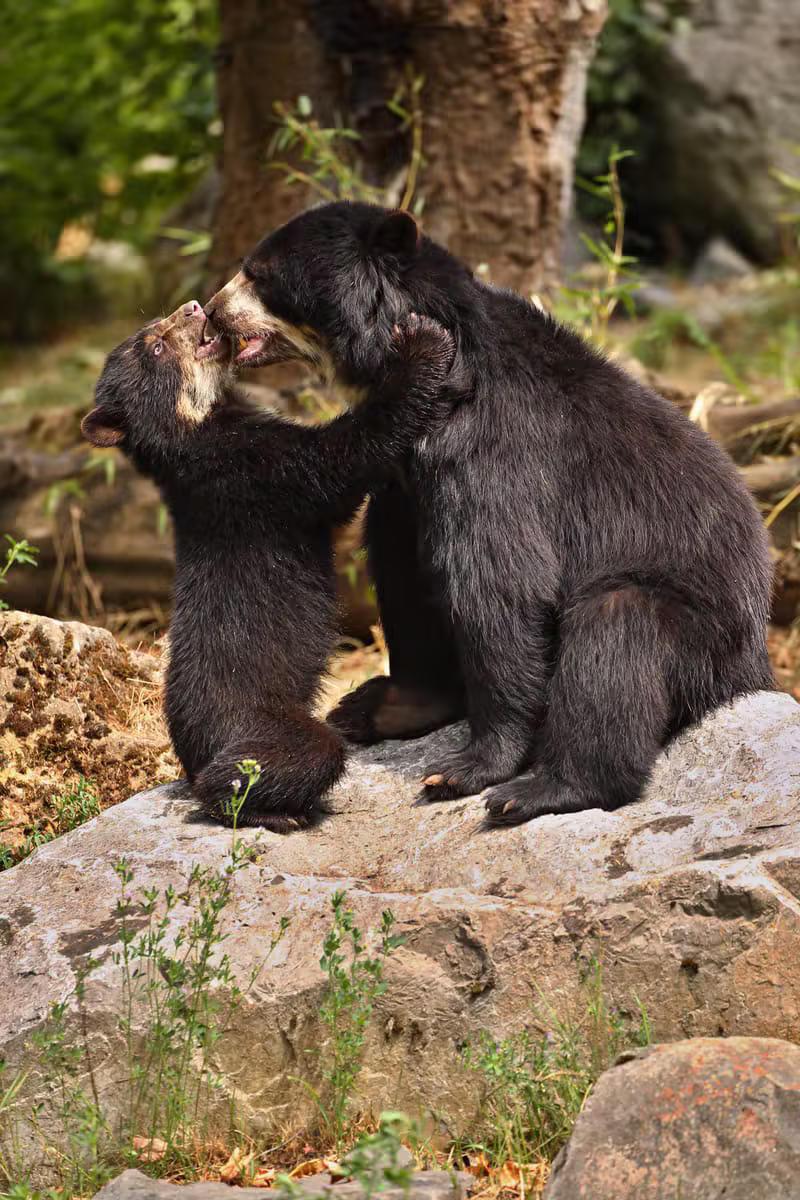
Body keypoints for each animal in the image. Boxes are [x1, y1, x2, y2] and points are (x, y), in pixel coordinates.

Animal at [81, 299, 456, 830]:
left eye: (158, 325)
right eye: (154, 346)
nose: (195, 306)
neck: (200, 423)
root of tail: (193, 756)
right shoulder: (258, 472)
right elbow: (342, 456)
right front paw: (422, 344)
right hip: (262, 722)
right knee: (284, 760)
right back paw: (276, 811)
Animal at [202, 201, 775, 826]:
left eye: (259, 274)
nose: (211, 312)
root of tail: (757, 663)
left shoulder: (494, 447)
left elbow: (500, 583)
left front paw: (464, 767)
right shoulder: (406, 482)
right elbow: (403, 566)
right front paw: (396, 705)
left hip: (699, 630)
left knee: (616, 637)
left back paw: (544, 788)